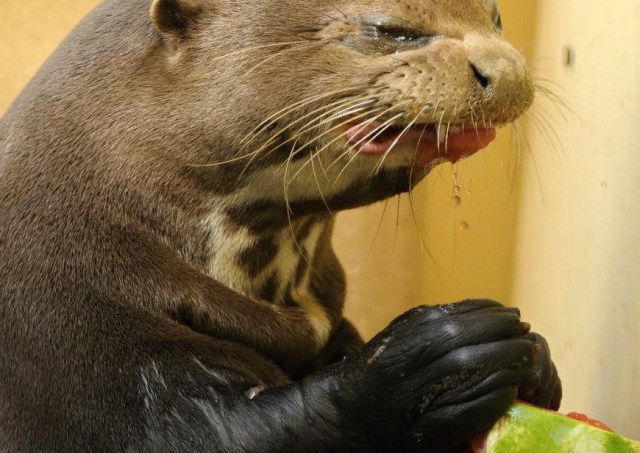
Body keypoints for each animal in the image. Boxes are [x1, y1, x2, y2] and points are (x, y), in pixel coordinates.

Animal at [0, 0, 561, 451]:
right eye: (391, 30)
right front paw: (426, 366)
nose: (506, 70)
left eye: (496, 16)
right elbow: (228, 434)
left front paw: (539, 364)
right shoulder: (83, 354)